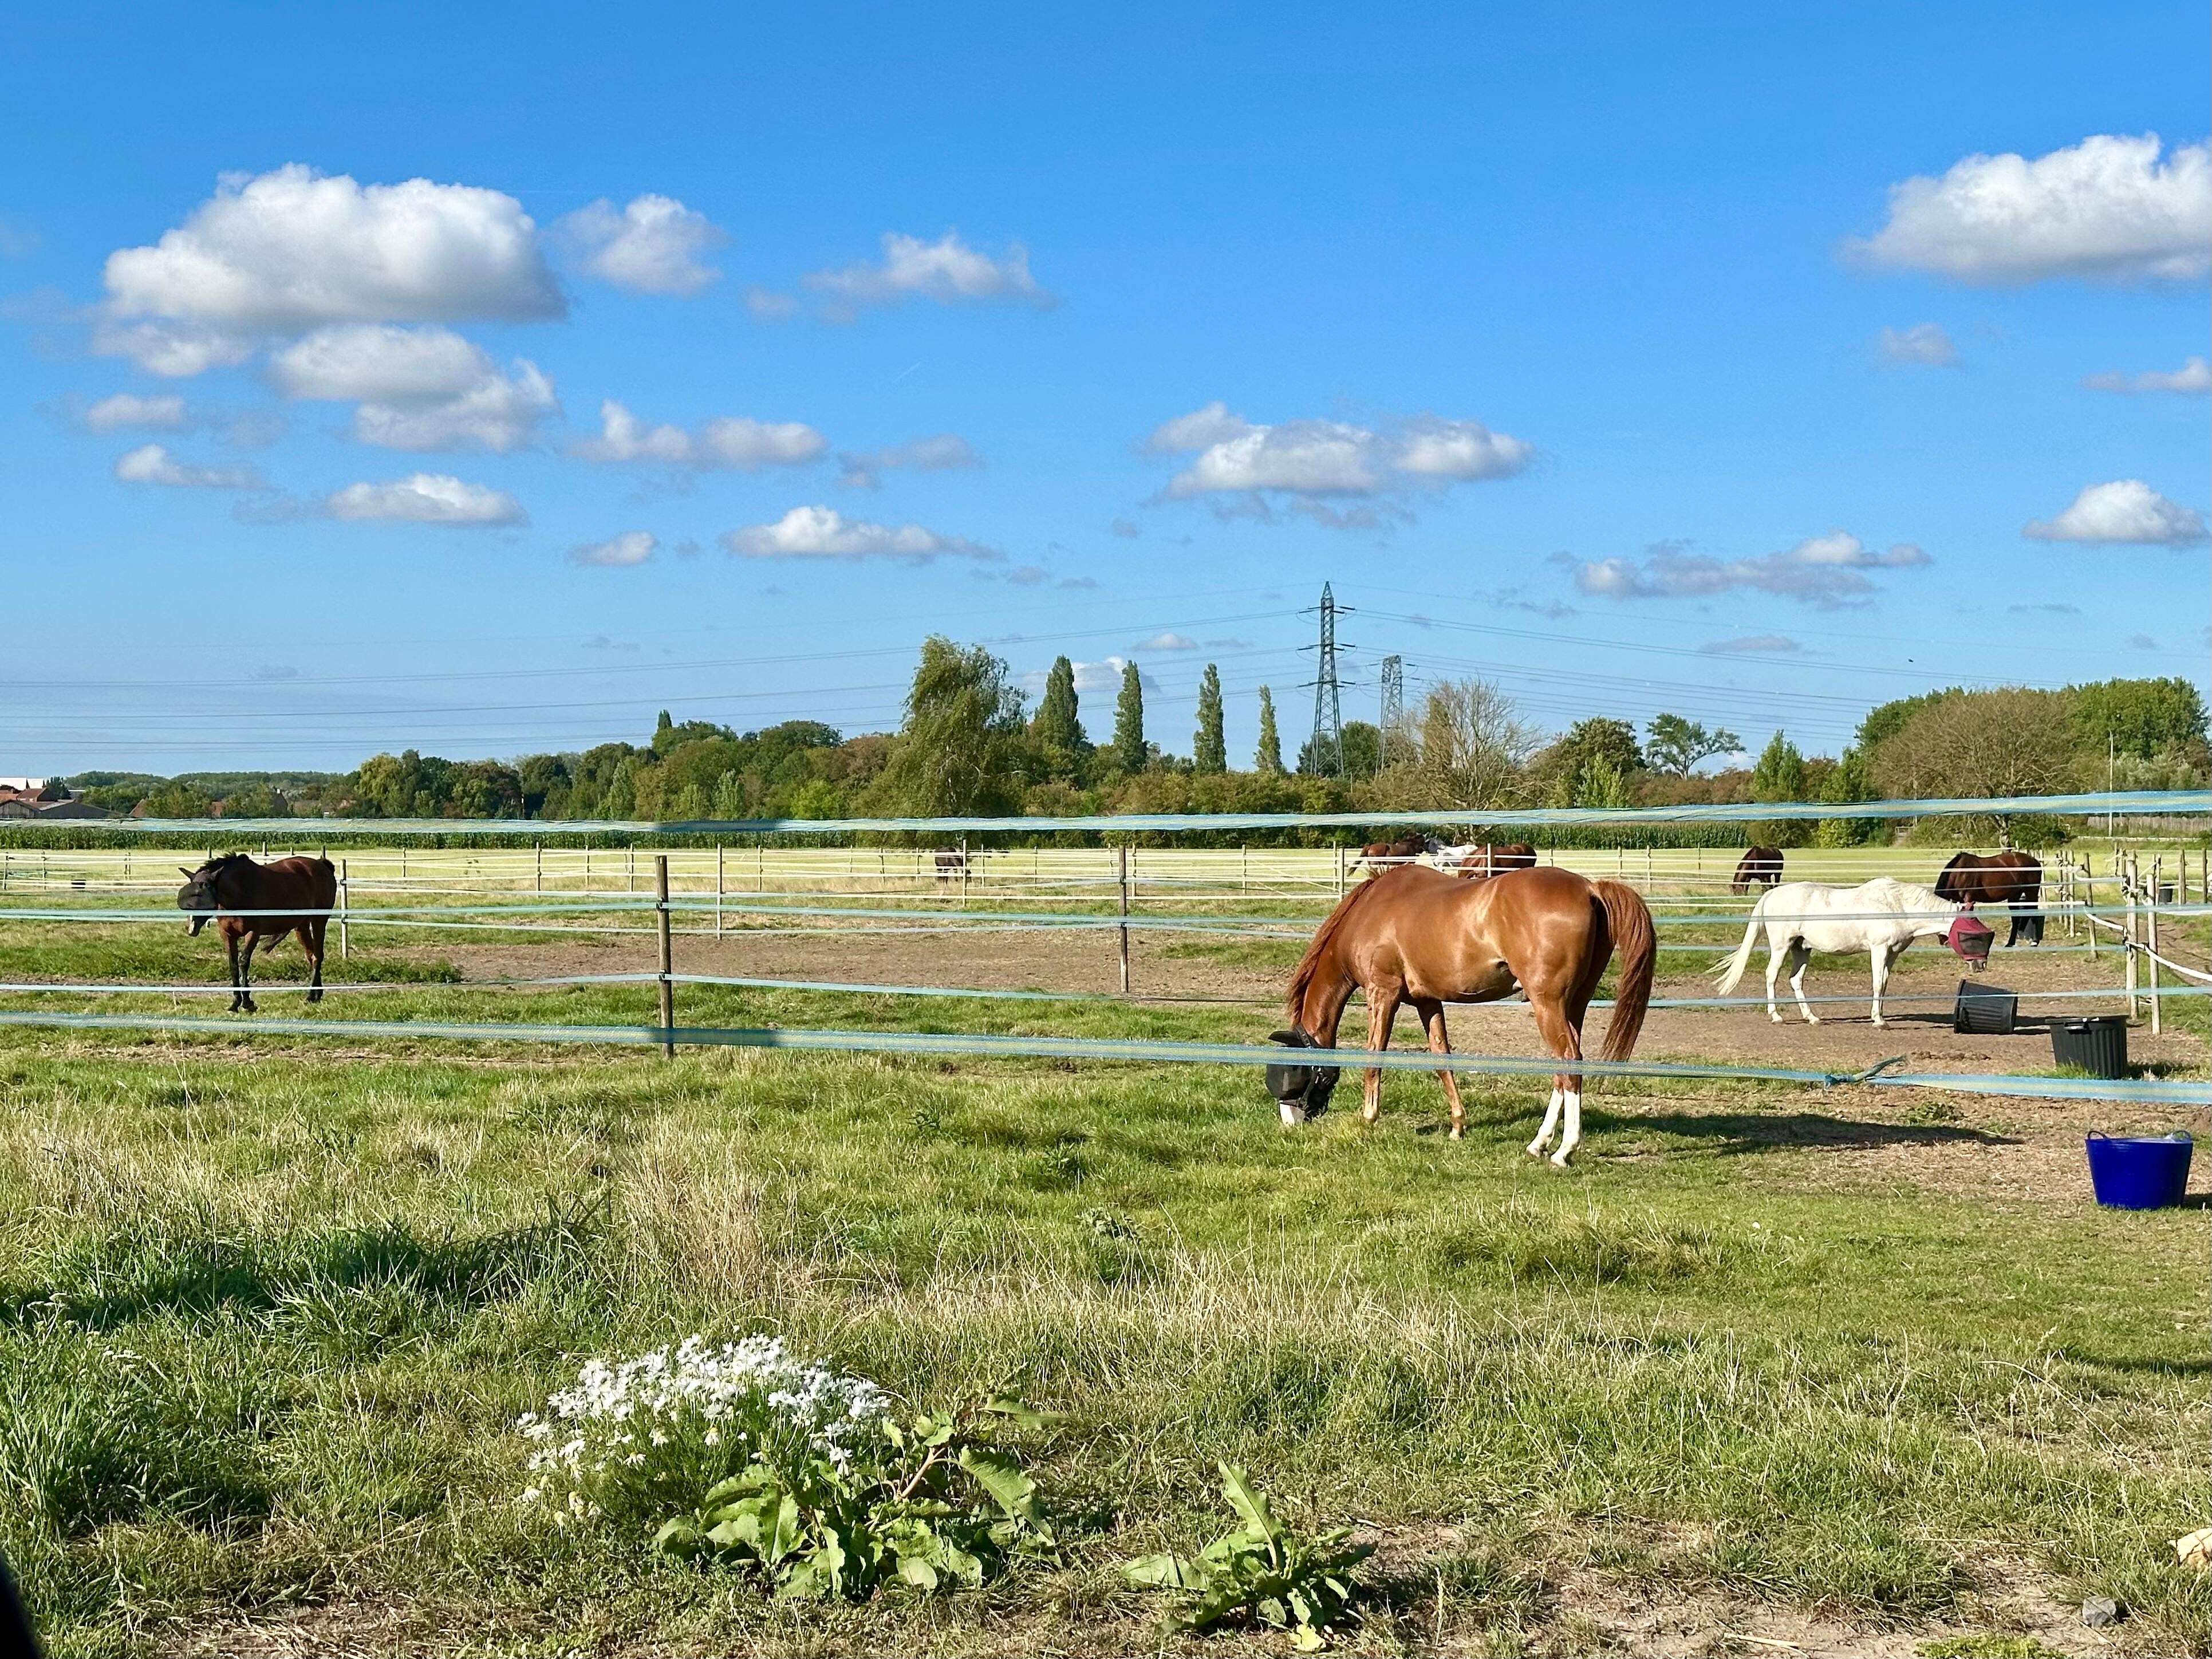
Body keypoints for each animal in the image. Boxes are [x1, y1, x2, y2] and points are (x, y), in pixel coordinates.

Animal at [175, 853, 336, 1012]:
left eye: (203, 894)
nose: (192, 928)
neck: (240, 891)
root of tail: (322, 865)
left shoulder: (253, 933)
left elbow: (244, 962)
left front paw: (247, 1003)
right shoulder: (227, 934)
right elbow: (233, 965)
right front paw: (235, 1003)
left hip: (319, 921)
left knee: (317, 956)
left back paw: (310, 996)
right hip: (302, 926)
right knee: (311, 955)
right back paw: (316, 995)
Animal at [1270, 864, 1655, 1167]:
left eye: (1294, 1072)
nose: (1289, 1121)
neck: (1371, 911)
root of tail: (1590, 888)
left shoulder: (1383, 994)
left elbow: (1374, 1057)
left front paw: (1368, 1119)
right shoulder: (1428, 1002)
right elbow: (1442, 1060)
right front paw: (1457, 1126)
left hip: (1548, 1004)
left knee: (1568, 1062)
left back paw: (1564, 1151)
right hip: (1573, 1006)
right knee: (1564, 1068)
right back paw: (1539, 1144)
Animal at [1713, 877, 1962, 1026]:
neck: (1897, 905)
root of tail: (1771, 895)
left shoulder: (1892, 953)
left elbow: (1884, 983)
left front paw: (1880, 1015)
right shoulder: (1878, 949)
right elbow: (1877, 983)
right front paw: (1878, 1021)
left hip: (1801, 949)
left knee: (1795, 980)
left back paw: (1812, 1017)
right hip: (1782, 946)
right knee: (1771, 976)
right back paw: (1776, 1016)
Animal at [1933, 852, 2043, 946]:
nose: (1943, 942)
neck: (1959, 873)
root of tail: (2036, 861)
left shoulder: (1969, 899)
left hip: (2031, 893)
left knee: (2034, 915)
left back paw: (2035, 942)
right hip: (2014, 896)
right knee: (2016, 919)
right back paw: (2010, 943)